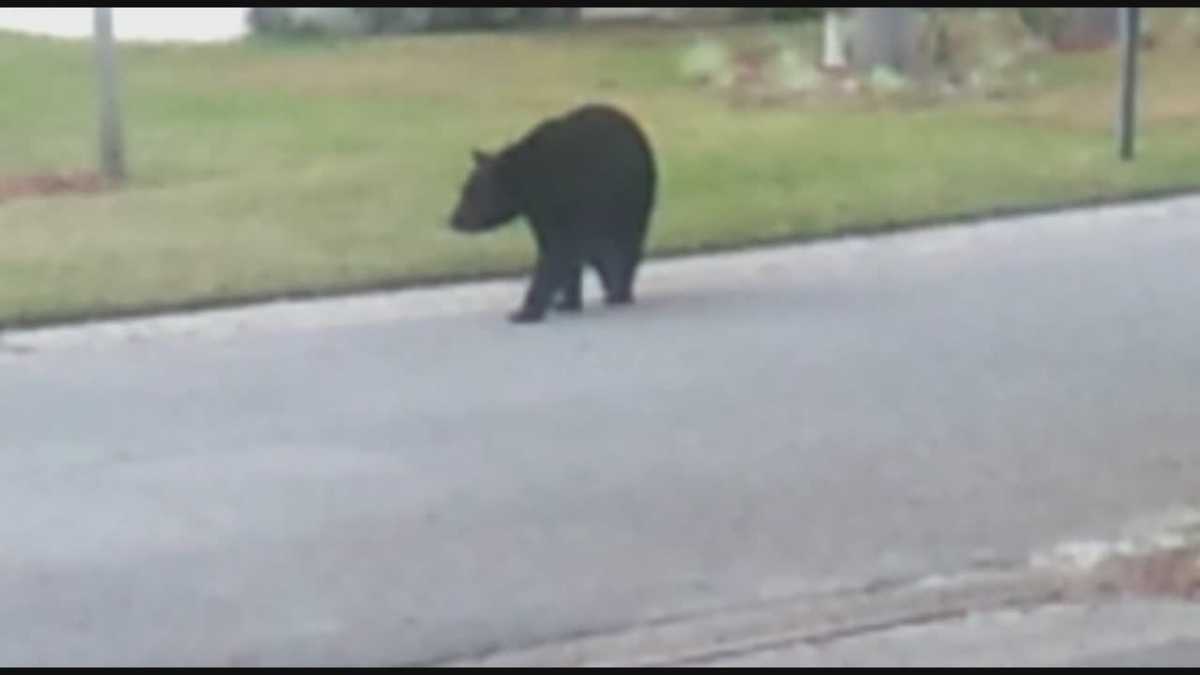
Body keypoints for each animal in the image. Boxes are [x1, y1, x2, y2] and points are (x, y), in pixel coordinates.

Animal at [449, 103, 658, 323]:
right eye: (464, 190)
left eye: (470, 193)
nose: (453, 219)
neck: (530, 182)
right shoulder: (540, 213)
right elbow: (559, 250)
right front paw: (567, 302)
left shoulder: (566, 198)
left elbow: (557, 251)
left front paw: (525, 311)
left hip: (628, 201)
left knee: (624, 246)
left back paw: (618, 292)